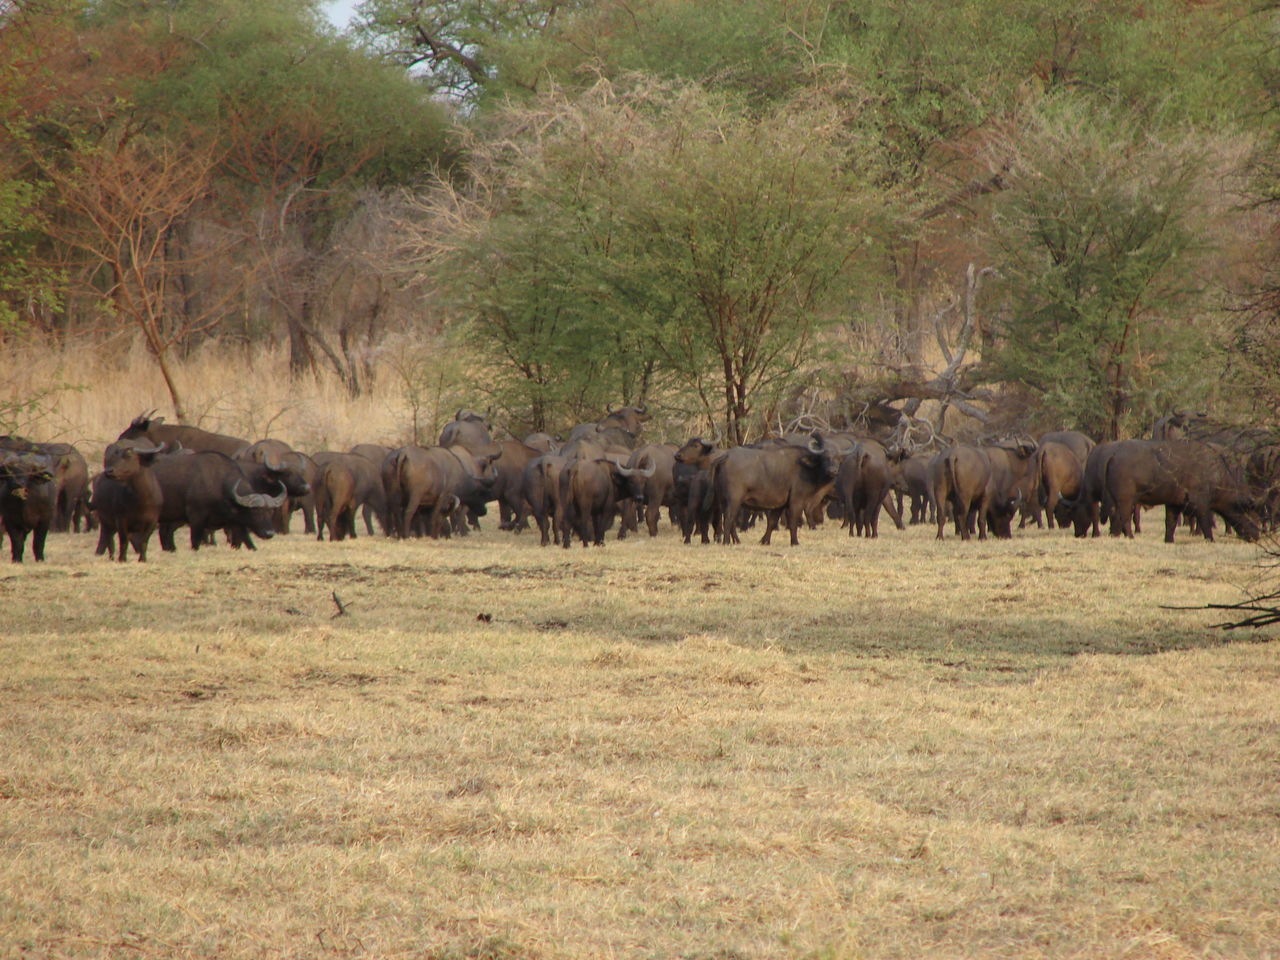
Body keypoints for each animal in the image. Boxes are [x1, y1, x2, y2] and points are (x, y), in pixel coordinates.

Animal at [1100, 442, 1259, 545]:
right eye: (1248, 509)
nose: (1257, 534)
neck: (1216, 475)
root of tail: (1113, 457)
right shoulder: (1201, 503)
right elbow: (1205, 522)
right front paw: (1211, 539)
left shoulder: (1173, 504)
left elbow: (1170, 523)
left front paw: (1169, 540)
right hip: (1126, 500)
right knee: (1124, 517)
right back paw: (1130, 536)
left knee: (1115, 515)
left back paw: (1116, 535)